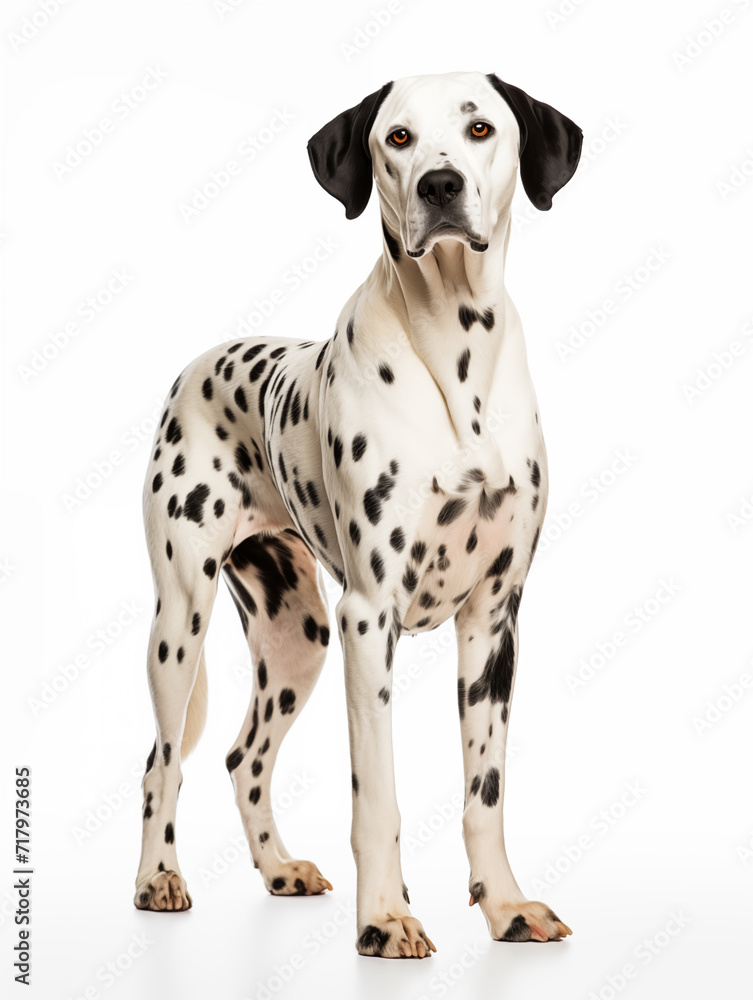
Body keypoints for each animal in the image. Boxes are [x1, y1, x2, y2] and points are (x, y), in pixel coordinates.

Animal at [134, 72, 580, 960]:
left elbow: (484, 793)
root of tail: (195, 366)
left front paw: (505, 907)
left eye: (480, 128)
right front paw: (384, 918)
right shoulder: (368, 618)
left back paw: (279, 869)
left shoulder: (493, 622)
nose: (440, 186)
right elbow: (376, 794)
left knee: (242, 756)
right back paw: (157, 879)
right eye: (397, 138)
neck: (453, 359)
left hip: (294, 636)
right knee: (161, 762)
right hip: (181, 623)